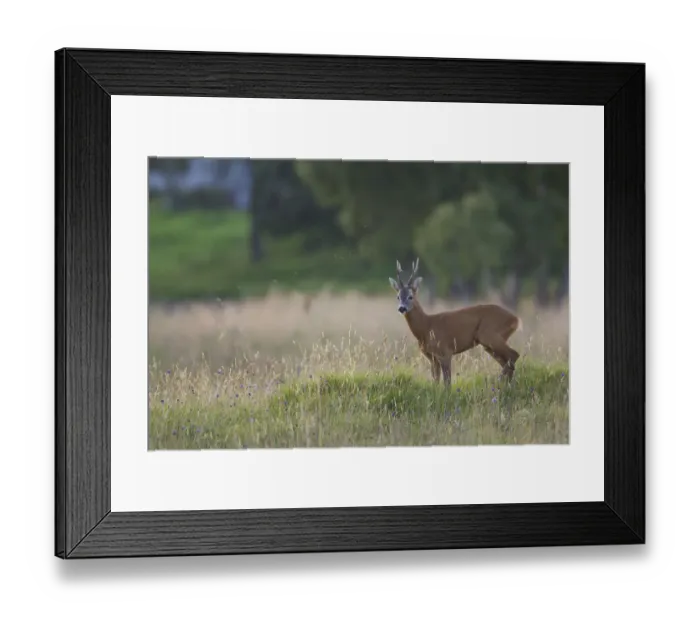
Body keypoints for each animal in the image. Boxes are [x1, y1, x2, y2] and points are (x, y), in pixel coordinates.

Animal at [389, 258, 522, 388]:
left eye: (410, 296)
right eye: (398, 297)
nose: (402, 308)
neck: (426, 327)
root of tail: (516, 319)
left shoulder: (445, 352)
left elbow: (447, 383)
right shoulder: (432, 357)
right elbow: (435, 383)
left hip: (489, 334)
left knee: (514, 355)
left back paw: (499, 384)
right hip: (489, 343)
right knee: (507, 361)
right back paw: (505, 387)